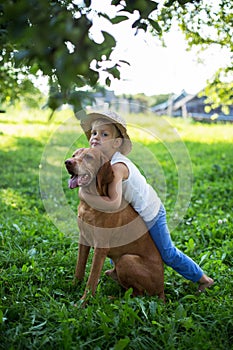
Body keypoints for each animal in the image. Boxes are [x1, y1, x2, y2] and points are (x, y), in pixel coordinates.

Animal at [64, 147, 165, 300]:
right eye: (74, 155)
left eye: (88, 157)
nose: (67, 162)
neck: (90, 206)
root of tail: (162, 289)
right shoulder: (83, 239)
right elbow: (79, 268)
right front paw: (73, 287)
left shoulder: (101, 248)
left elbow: (92, 280)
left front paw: (83, 302)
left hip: (126, 259)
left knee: (137, 295)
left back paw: (110, 298)